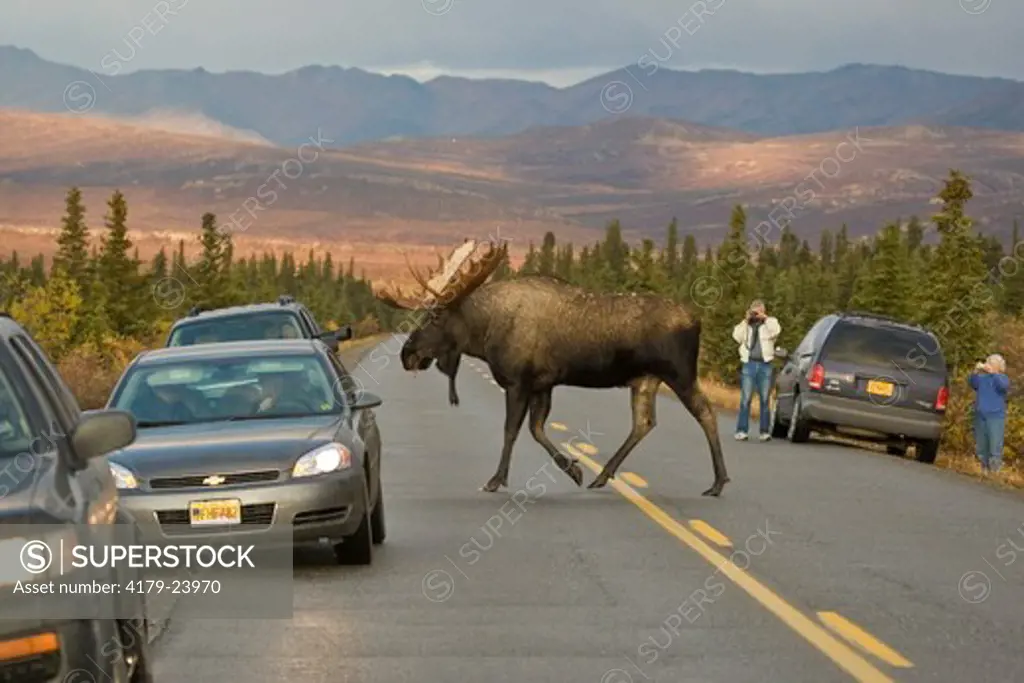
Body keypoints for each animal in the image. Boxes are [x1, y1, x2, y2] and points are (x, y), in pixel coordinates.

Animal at [374, 240, 729, 497]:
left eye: (435, 316)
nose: (407, 354)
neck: (484, 333)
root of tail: (697, 320)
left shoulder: (518, 382)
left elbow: (511, 430)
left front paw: (496, 479)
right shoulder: (543, 384)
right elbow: (537, 429)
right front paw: (573, 468)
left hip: (680, 374)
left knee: (705, 412)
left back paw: (718, 482)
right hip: (645, 379)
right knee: (644, 423)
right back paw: (602, 475)